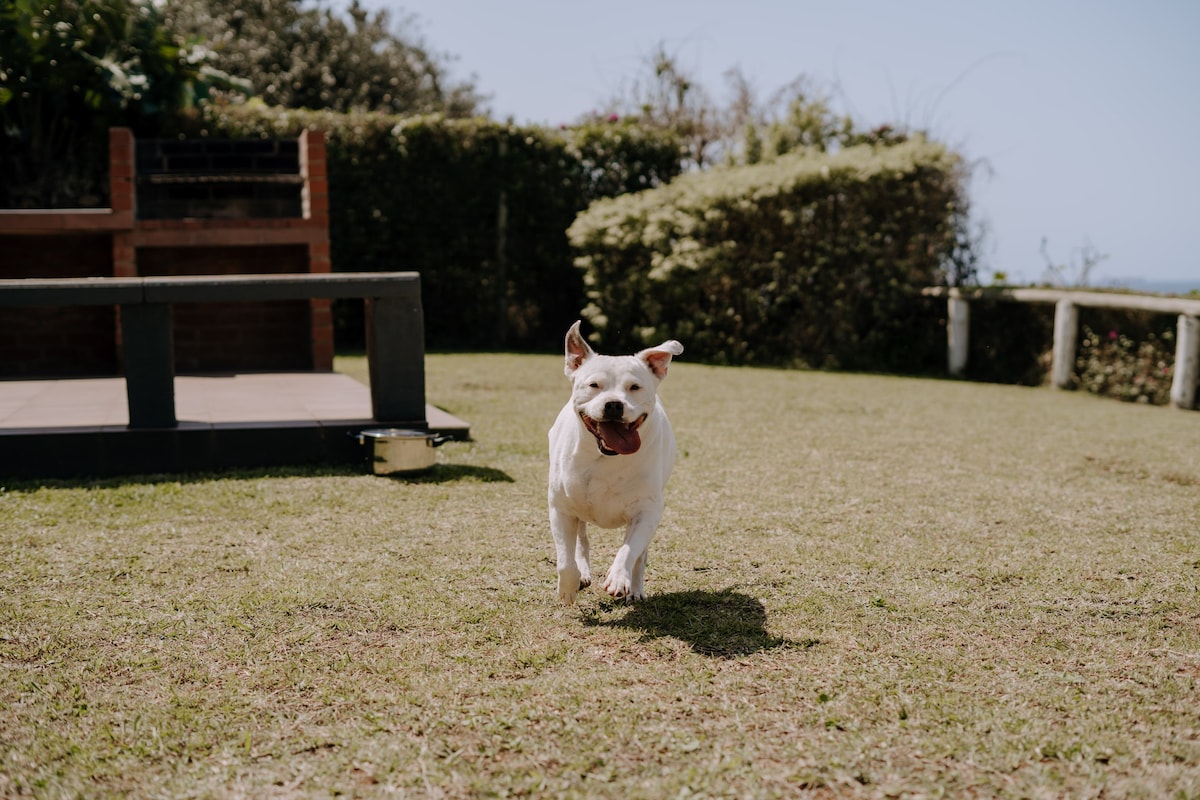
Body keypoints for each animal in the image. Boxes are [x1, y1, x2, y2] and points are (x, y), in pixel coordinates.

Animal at [547, 316, 681, 599]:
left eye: (634, 387)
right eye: (594, 385)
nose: (614, 404)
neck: (606, 457)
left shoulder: (647, 511)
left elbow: (630, 549)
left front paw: (619, 578)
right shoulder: (561, 508)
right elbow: (565, 560)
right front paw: (567, 588)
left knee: (640, 554)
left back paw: (635, 588)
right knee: (581, 540)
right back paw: (582, 574)